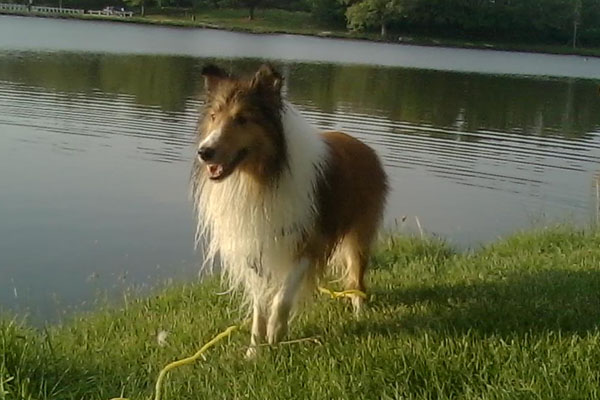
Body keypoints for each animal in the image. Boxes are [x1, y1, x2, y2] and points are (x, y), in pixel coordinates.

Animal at [191, 64, 387, 356]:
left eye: (242, 119)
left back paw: (359, 312)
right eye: (214, 116)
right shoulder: (255, 246)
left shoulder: (308, 243)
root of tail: (365, 147)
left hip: (359, 235)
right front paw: (254, 351)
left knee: (357, 278)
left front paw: (276, 332)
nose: (204, 152)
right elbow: (260, 303)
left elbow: (281, 298)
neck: (262, 178)